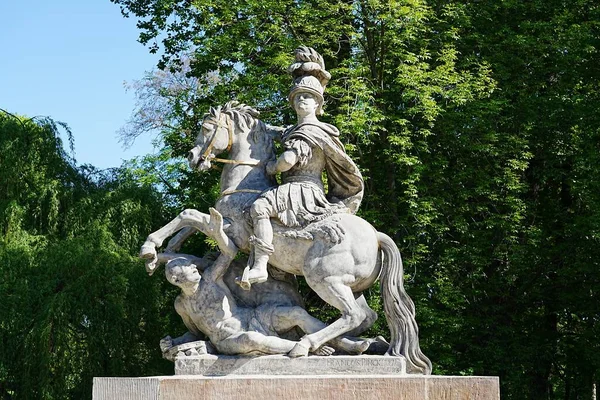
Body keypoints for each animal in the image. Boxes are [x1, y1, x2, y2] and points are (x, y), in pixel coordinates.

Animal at [141, 101, 432, 374]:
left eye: (205, 127)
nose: (192, 157)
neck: (245, 185)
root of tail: (377, 235)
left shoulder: (230, 229)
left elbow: (188, 215)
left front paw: (150, 247)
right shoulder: (222, 223)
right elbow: (188, 223)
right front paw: (164, 253)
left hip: (324, 278)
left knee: (352, 314)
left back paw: (306, 346)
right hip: (351, 285)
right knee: (366, 316)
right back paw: (360, 345)